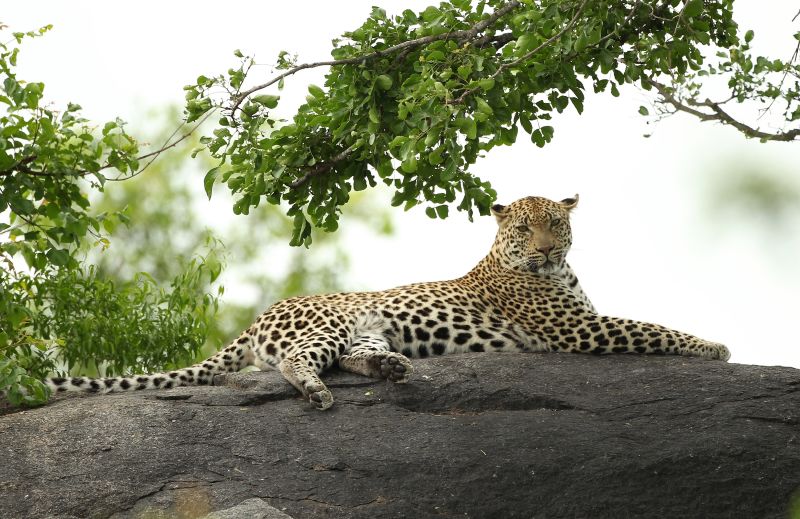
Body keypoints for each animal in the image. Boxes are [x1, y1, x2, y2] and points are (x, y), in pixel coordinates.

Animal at [43, 195, 732, 410]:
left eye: (555, 227)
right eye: (524, 229)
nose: (543, 250)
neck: (557, 272)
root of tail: (261, 315)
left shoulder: (583, 322)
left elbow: (644, 321)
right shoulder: (577, 331)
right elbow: (649, 326)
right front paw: (714, 346)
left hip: (369, 329)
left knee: (354, 358)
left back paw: (394, 368)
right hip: (324, 325)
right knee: (296, 364)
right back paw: (318, 393)